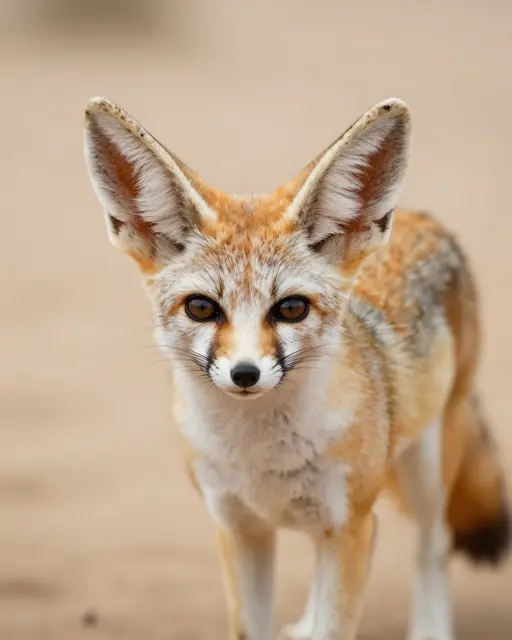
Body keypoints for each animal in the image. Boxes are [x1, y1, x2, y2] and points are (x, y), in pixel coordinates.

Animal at [83, 96, 509, 640]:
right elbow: (255, 628)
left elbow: (338, 622)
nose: (245, 374)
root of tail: (419, 216)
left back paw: (430, 629)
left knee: (433, 545)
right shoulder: (240, 529)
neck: (261, 457)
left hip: (429, 467)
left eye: (290, 309)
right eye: (201, 308)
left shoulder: (346, 525)